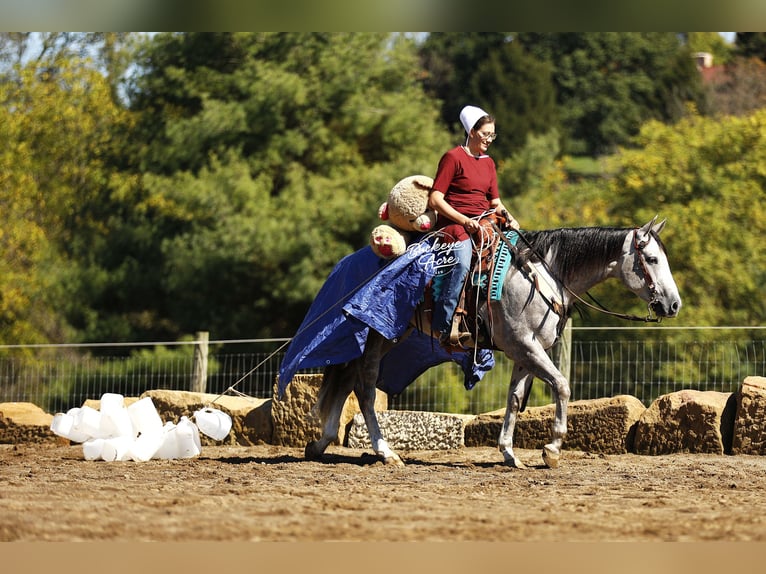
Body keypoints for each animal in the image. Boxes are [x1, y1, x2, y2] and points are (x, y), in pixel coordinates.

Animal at [304, 216, 682, 468]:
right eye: (651, 259)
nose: (674, 304)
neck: (541, 275)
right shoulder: (526, 346)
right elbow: (561, 386)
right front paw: (552, 449)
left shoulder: (526, 351)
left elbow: (514, 399)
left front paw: (509, 453)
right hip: (376, 335)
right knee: (365, 387)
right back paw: (385, 452)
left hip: (390, 336)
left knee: (349, 380)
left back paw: (321, 443)